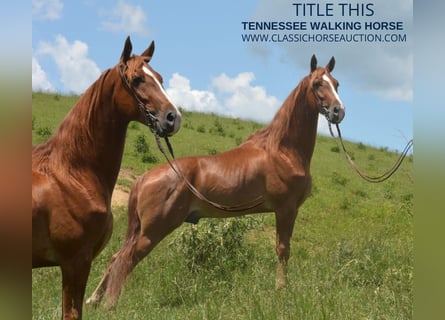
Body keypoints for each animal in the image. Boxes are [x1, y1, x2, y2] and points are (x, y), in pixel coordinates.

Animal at [86, 54, 344, 308]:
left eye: (336, 83)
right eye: (318, 84)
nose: (338, 111)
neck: (282, 151)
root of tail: (143, 179)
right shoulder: (286, 210)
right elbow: (283, 250)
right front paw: (281, 290)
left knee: (116, 257)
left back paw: (94, 299)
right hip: (153, 231)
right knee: (126, 260)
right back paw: (110, 305)